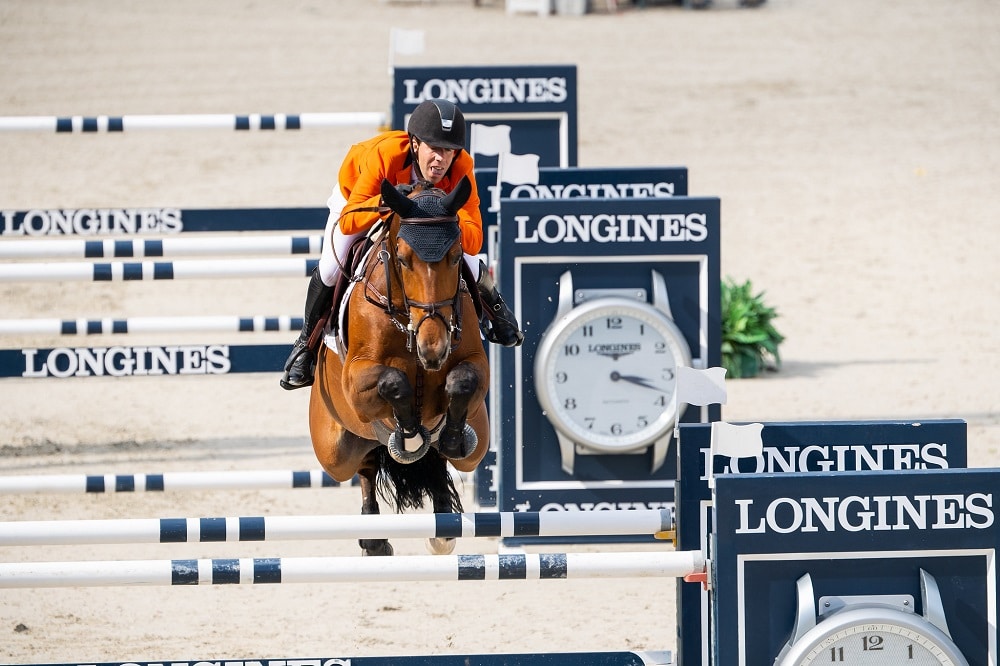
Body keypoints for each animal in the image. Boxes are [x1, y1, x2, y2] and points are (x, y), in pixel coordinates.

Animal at [306, 175, 490, 556]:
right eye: (403, 260)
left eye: (455, 256)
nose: (433, 349)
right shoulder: (357, 382)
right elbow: (393, 383)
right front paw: (409, 436)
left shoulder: (477, 366)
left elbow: (461, 381)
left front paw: (448, 437)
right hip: (334, 450)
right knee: (363, 464)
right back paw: (374, 539)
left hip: (478, 443)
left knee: (441, 460)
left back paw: (443, 526)